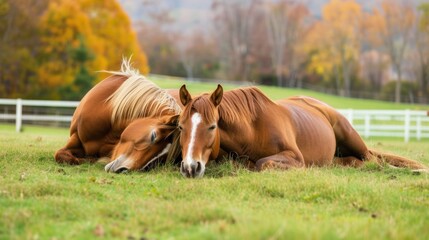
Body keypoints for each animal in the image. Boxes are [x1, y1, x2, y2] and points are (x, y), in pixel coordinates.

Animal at [176, 84, 426, 178]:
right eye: (181, 126)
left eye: (212, 126)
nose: (190, 167)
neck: (253, 130)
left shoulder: (295, 158)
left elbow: (262, 163)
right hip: (335, 159)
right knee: (355, 162)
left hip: (351, 138)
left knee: (375, 161)